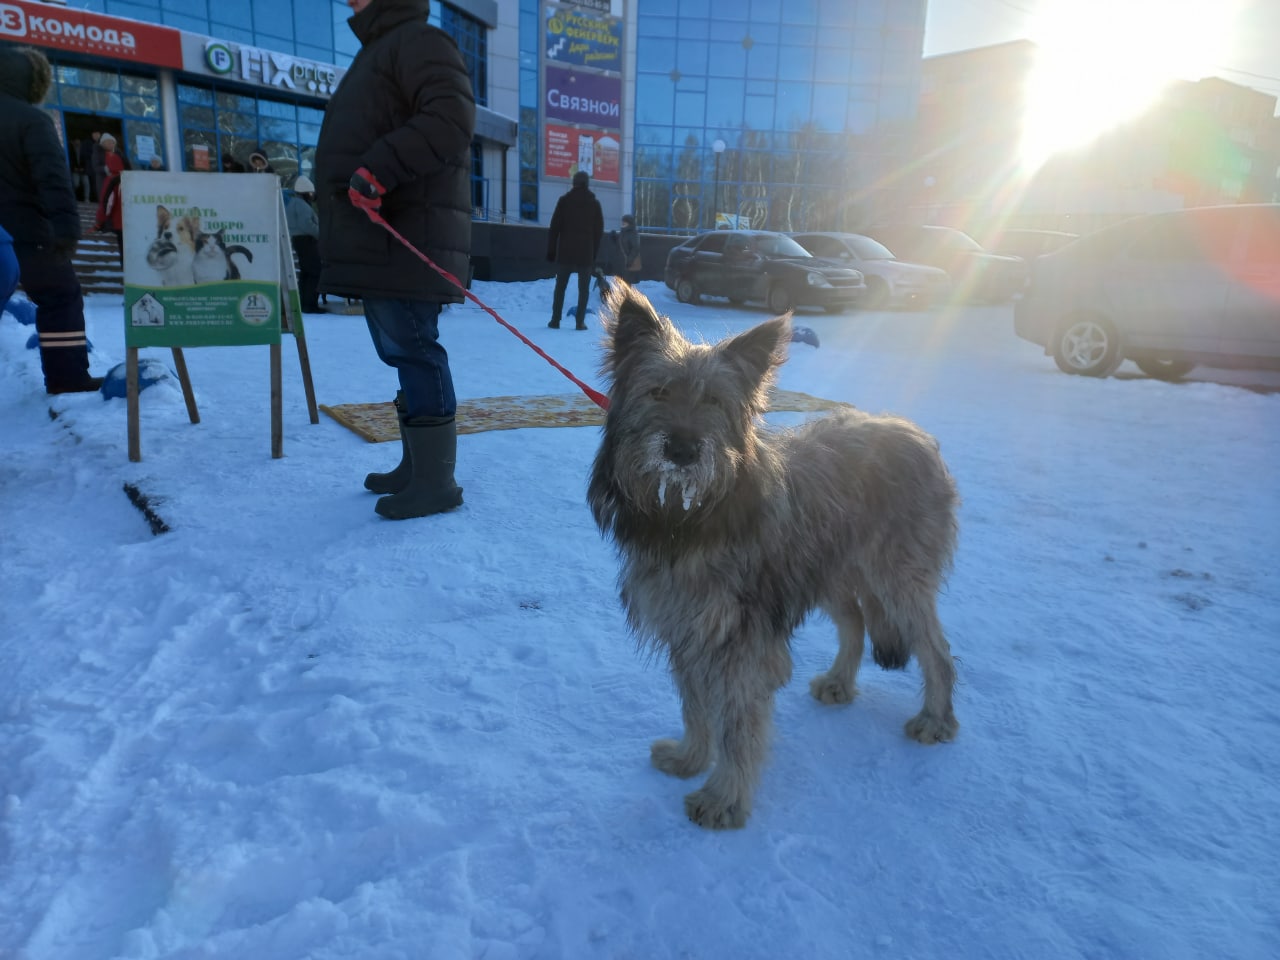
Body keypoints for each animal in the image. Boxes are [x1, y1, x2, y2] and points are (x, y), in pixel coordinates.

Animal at [588, 281, 962, 829]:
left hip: (896, 576)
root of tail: (915, 437)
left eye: (715, 400)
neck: (689, 519)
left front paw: (723, 798)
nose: (682, 449)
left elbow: (737, 723)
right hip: (828, 570)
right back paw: (838, 683)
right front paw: (690, 757)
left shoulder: (740, 638)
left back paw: (935, 719)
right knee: (856, 622)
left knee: (935, 649)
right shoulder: (689, 624)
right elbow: (694, 703)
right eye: (659, 391)